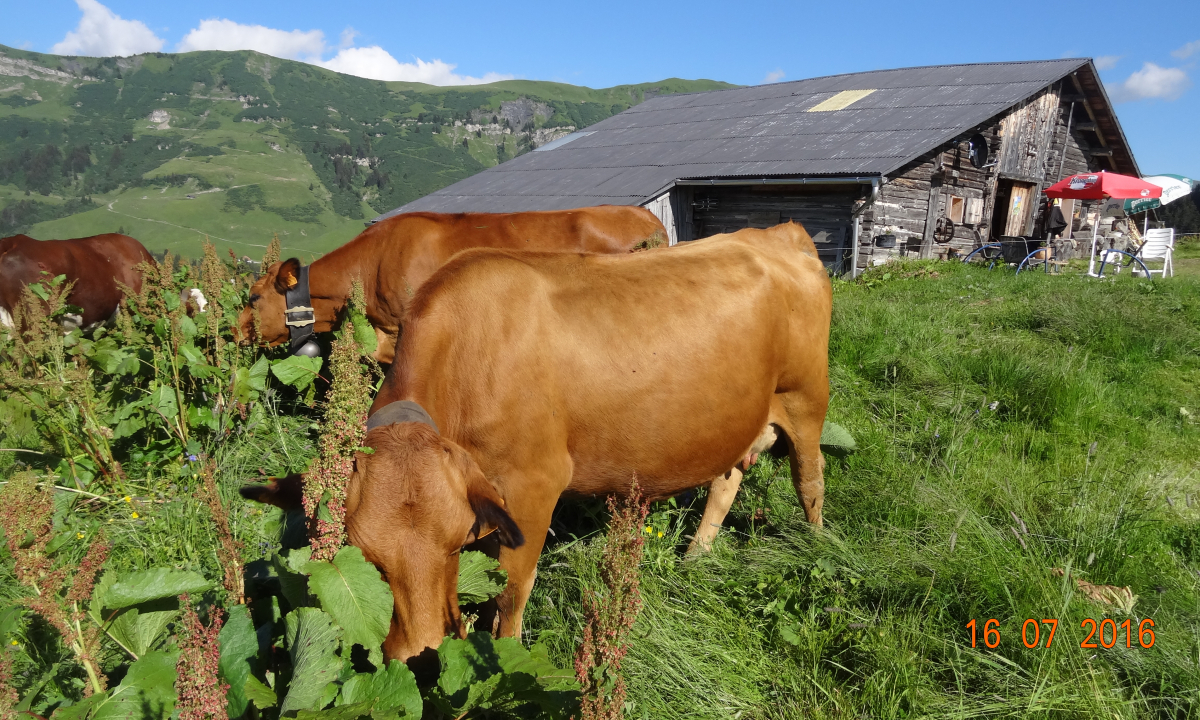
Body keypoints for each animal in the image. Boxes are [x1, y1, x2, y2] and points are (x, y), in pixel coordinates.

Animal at [238, 222, 830, 667]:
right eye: (364, 556)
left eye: (455, 544)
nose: (423, 659)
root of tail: (776, 233)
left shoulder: (534, 486)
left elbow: (510, 589)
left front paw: (506, 652)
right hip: (740, 416)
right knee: (727, 479)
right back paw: (696, 555)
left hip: (806, 398)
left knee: (810, 478)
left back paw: (818, 548)